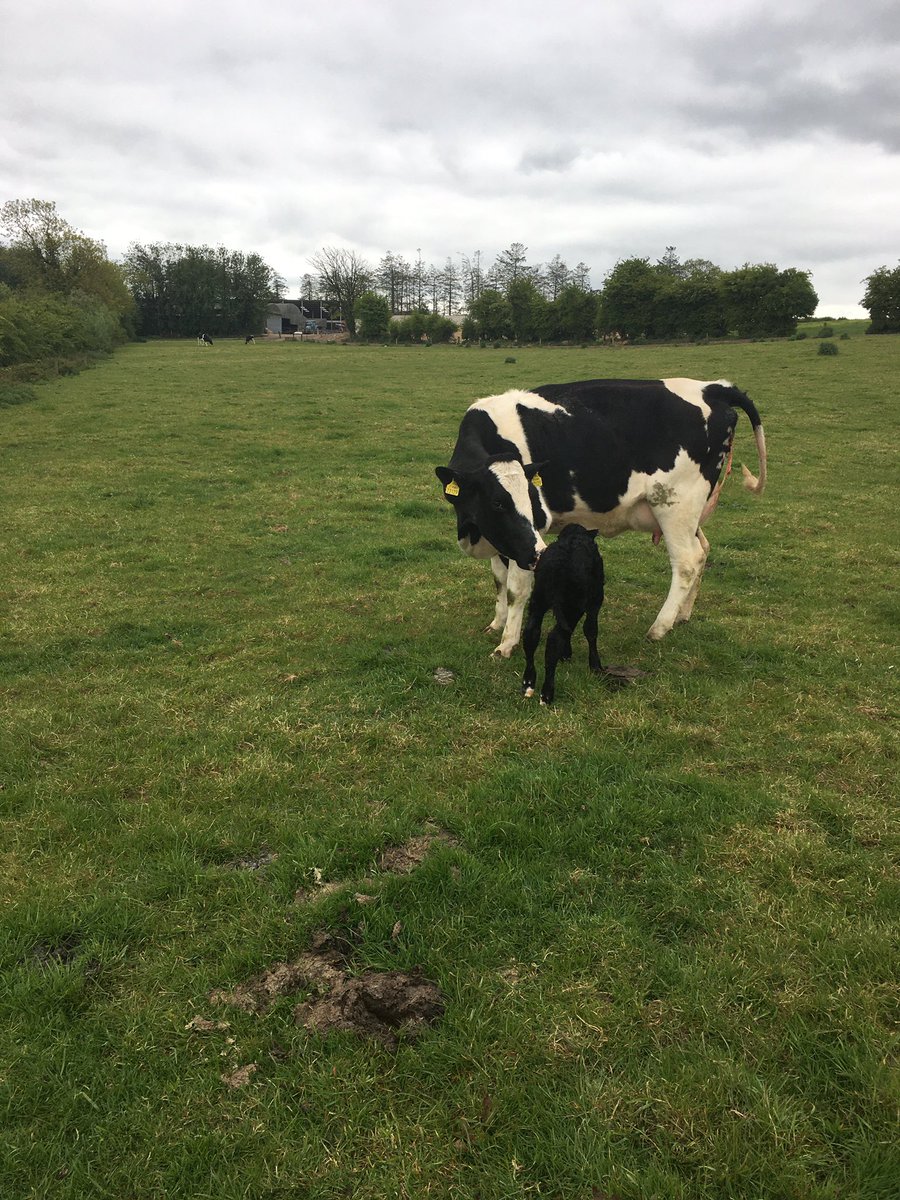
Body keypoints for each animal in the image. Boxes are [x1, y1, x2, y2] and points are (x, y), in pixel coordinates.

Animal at [435, 378, 766, 657]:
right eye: (497, 503)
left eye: (531, 500)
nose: (539, 553)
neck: (473, 532)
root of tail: (712, 387)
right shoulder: (502, 534)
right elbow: (499, 580)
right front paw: (497, 623)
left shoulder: (530, 534)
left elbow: (516, 589)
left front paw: (507, 644)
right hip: (689, 512)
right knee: (703, 551)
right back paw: (682, 615)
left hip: (675, 504)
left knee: (687, 562)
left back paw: (659, 627)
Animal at [522, 524, 605, 705]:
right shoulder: (595, 600)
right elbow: (590, 630)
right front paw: (595, 666)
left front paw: (566, 654)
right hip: (571, 604)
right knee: (555, 638)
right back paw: (546, 693)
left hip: (539, 599)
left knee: (531, 632)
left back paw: (528, 682)